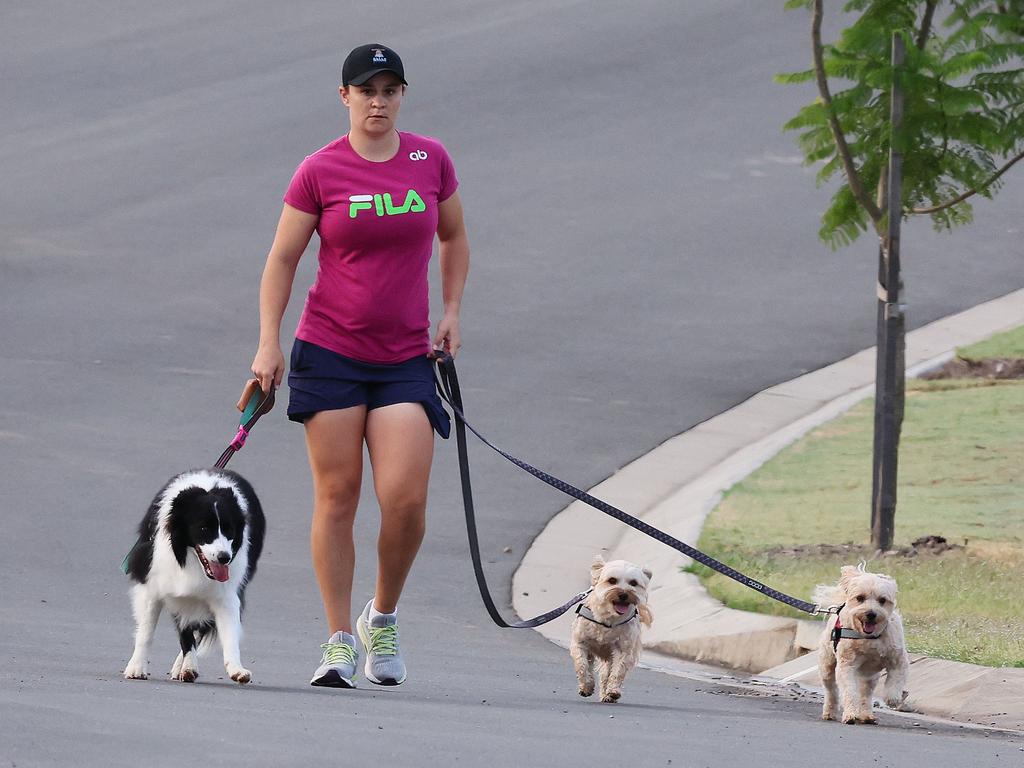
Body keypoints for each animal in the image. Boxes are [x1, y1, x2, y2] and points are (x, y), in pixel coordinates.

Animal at [569, 561, 655, 704]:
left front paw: (613, 691)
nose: (624, 594)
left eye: (633, 583)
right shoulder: (580, 642)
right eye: (612, 580)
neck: (608, 619)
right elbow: (582, 665)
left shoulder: (623, 650)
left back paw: (607, 695)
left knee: (606, 675)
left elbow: (617, 671)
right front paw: (586, 686)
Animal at [815, 561, 913, 724]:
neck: (869, 638)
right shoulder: (847, 665)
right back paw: (829, 712)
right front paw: (850, 714)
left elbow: (895, 679)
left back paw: (866, 715)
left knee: (865, 695)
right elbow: (849, 691)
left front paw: (892, 698)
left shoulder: (898, 659)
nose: (871, 614)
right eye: (860, 598)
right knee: (831, 691)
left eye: (882, 600)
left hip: (870, 678)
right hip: (827, 666)